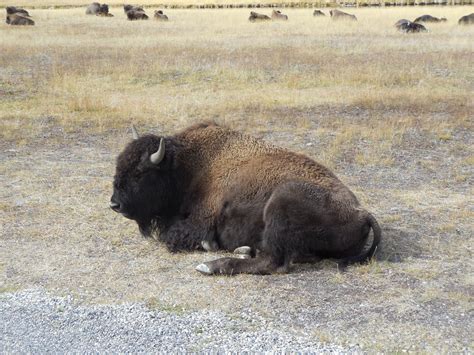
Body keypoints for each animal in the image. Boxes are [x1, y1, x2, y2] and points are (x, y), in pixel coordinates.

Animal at [110, 124, 382, 276]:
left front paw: (210, 246)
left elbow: (173, 237)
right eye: (119, 164)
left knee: (273, 263)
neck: (188, 166)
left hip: (281, 201)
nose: (115, 204)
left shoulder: (200, 220)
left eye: (140, 173)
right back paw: (243, 250)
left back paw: (212, 266)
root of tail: (362, 212)